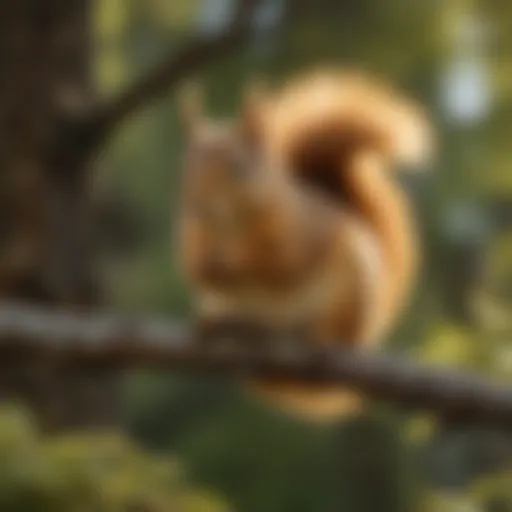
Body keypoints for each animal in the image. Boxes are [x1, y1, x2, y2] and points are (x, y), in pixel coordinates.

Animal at [176, 69, 432, 420]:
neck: (231, 228)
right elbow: (197, 273)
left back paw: (321, 337)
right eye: (187, 167)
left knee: (338, 329)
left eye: (237, 168)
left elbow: (280, 268)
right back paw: (222, 325)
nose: (200, 207)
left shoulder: (297, 235)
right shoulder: (194, 236)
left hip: (351, 288)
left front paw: (236, 265)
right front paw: (211, 268)